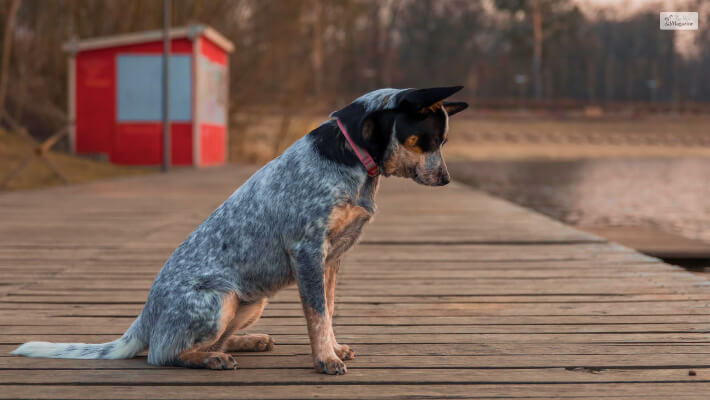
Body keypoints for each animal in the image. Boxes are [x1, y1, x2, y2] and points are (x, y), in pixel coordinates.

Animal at [12, 85, 468, 376]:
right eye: (427, 140)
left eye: (442, 142)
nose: (447, 179)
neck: (352, 158)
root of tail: (144, 317)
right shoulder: (307, 251)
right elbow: (317, 314)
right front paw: (325, 359)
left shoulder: (332, 259)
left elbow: (329, 310)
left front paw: (334, 348)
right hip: (219, 300)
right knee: (162, 353)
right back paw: (209, 359)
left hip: (252, 303)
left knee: (202, 342)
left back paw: (246, 343)